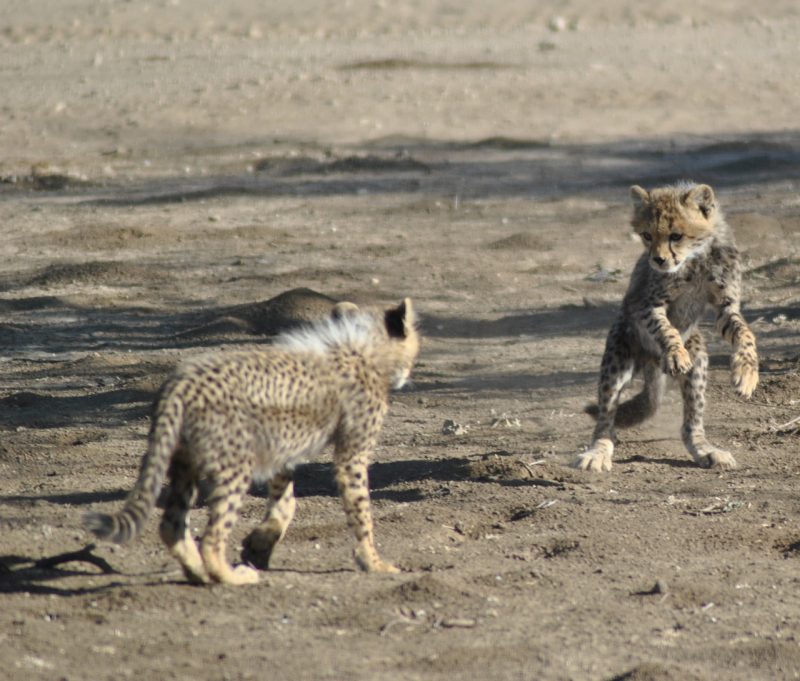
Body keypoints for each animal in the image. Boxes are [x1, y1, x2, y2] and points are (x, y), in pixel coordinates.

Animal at [85, 298, 419, 585]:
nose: (408, 374)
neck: (364, 349)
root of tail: (181, 381)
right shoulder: (352, 455)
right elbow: (361, 509)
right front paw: (373, 562)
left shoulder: (283, 449)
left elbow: (285, 503)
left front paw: (260, 542)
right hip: (234, 464)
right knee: (211, 535)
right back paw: (230, 576)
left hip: (185, 462)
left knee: (171, 524)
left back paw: (199, 573)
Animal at [574, 182, 758, 473]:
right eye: (647, 235)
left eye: (676, 235)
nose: (658, 260)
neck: (696, 259)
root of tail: (651, 364)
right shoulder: (648, 305)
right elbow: (665, 328)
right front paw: (674, 354)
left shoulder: (726, 307)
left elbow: (745, 333)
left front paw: (747, 374)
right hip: (618, 358)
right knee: (606, 420)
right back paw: (598, 452)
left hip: (698, 360)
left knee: (691, 422)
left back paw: (706, 450)